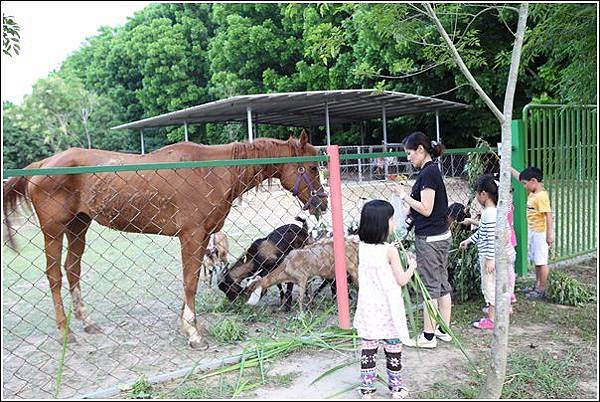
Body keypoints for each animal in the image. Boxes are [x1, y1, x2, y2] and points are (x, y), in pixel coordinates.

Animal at [2, 131, 326, 348]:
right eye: (312, 167)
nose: (321, 202)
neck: (213, 171)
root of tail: (43, 165)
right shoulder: (192, 237)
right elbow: (190, 282)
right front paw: (192, 333)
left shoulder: (202, 239)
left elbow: (191, 281)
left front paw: (190, 325)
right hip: (54, 231)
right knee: (54, 276)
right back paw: (64, 332)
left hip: (78, 226)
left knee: (72, 270)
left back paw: (87, 323)